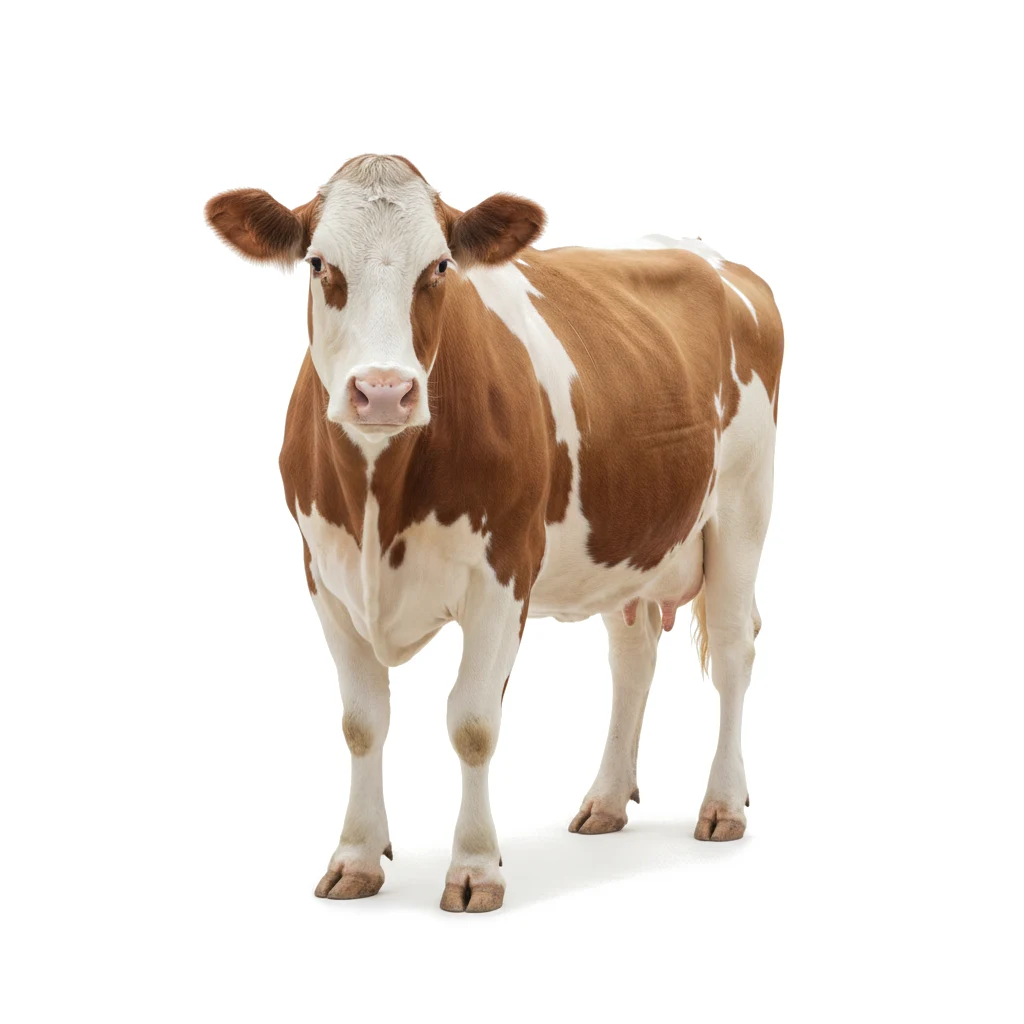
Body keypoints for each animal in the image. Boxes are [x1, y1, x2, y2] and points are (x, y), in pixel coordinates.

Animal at [205, 154, 783, 913]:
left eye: (440, 266)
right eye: (318, 263)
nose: (384, 391)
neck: (378, 499)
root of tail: (712, 256)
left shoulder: (503, 576)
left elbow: (472, 723)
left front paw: (475, 868)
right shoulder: (324, 577)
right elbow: (362, 722)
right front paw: (356, 857)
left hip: (744, 506)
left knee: (736, 653)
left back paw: (723, 805)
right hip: (627, 542)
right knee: (632, 659)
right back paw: (605, 801)